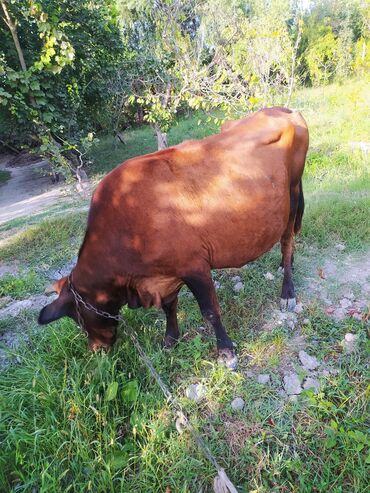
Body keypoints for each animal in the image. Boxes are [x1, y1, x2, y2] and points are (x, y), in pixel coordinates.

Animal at [39, 108, 308, 368]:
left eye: (79, 318)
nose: (96, 349)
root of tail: (284, 111)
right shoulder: (166, 273)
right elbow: (169, 306)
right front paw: (170, 339)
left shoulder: (195, 266)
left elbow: (210, 311)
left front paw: (225, 350)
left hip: (292, 197)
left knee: (287, 241)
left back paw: (287, 292)